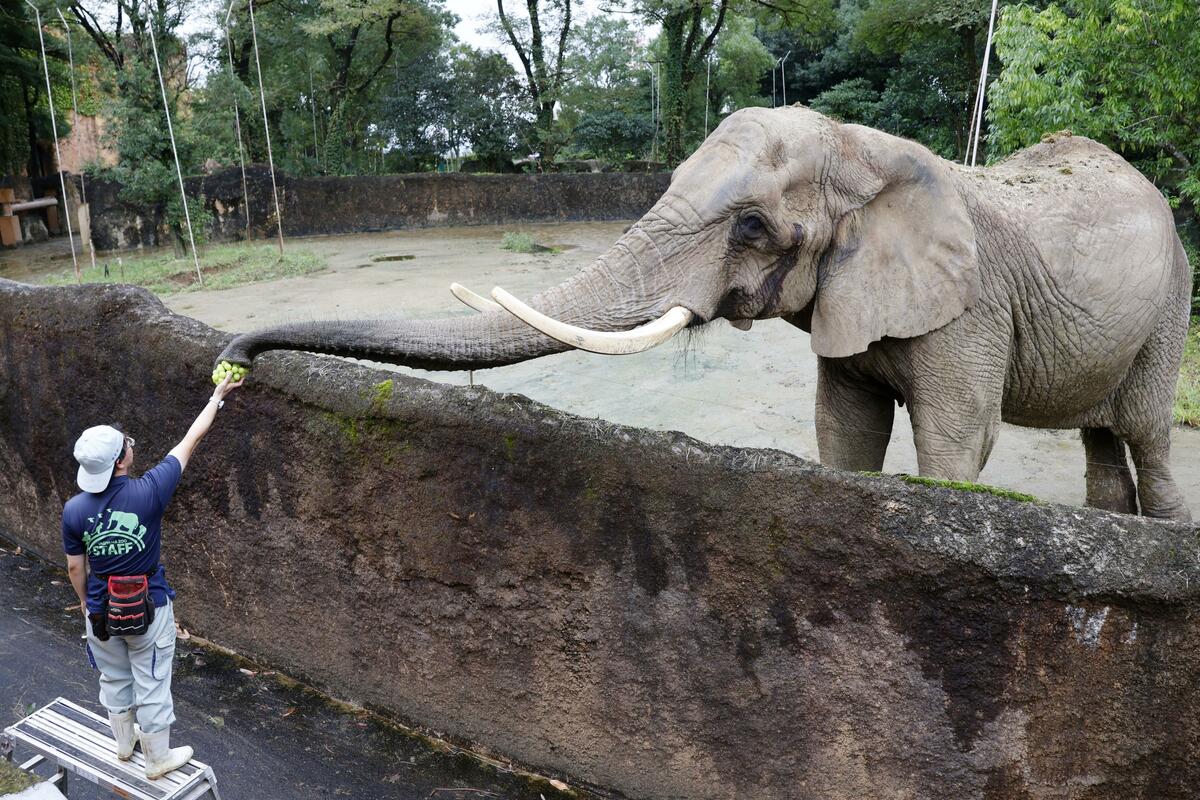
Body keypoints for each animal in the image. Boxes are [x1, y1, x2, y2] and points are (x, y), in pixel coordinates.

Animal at [218, 106, 1193, 521]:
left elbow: (959, 440)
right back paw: (1108, 527)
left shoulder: (971, 309)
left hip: (1174, 299)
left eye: (753, 227)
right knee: (1103, 437)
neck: (867, 154)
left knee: (1146, 428)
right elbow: (845, 428)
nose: (232, 362)